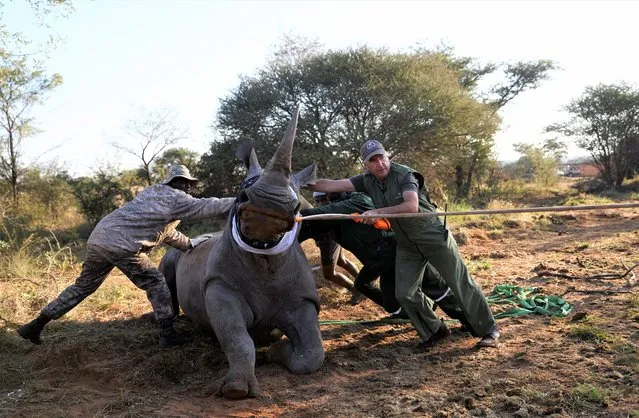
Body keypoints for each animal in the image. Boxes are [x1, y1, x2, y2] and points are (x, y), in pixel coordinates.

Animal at [158, 105, 322, 398]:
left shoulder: (303, 299)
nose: (270, 204)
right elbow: (236, 337)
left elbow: (313, 352)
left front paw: (277, 351)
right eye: (241, 193)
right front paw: (236, 390)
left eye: (297, 206)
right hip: (175, 256)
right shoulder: (219, 285)